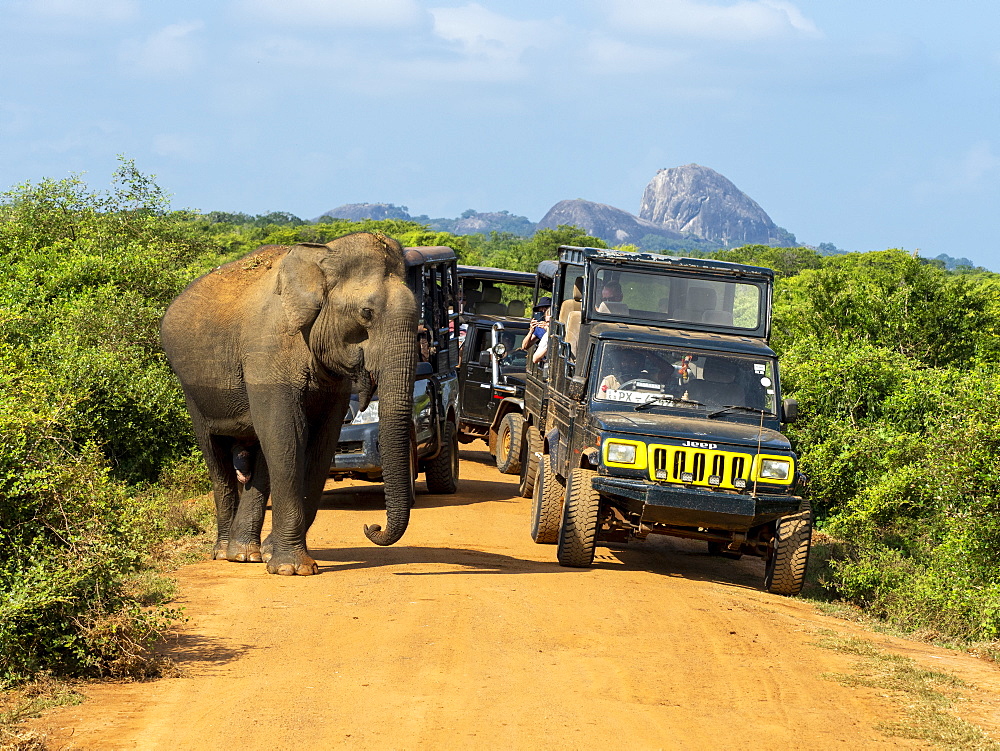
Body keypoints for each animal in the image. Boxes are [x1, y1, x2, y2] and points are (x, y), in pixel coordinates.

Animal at [162, 231, 420, 576]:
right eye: (366, 313)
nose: (372, 527)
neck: (323, 259)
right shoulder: (267, 351)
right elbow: (288, 434)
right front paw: (292, 569)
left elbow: (321, 441)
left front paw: (278, 558)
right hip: (193, 391)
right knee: (217, 456)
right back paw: (226, 553)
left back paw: (247, 553)